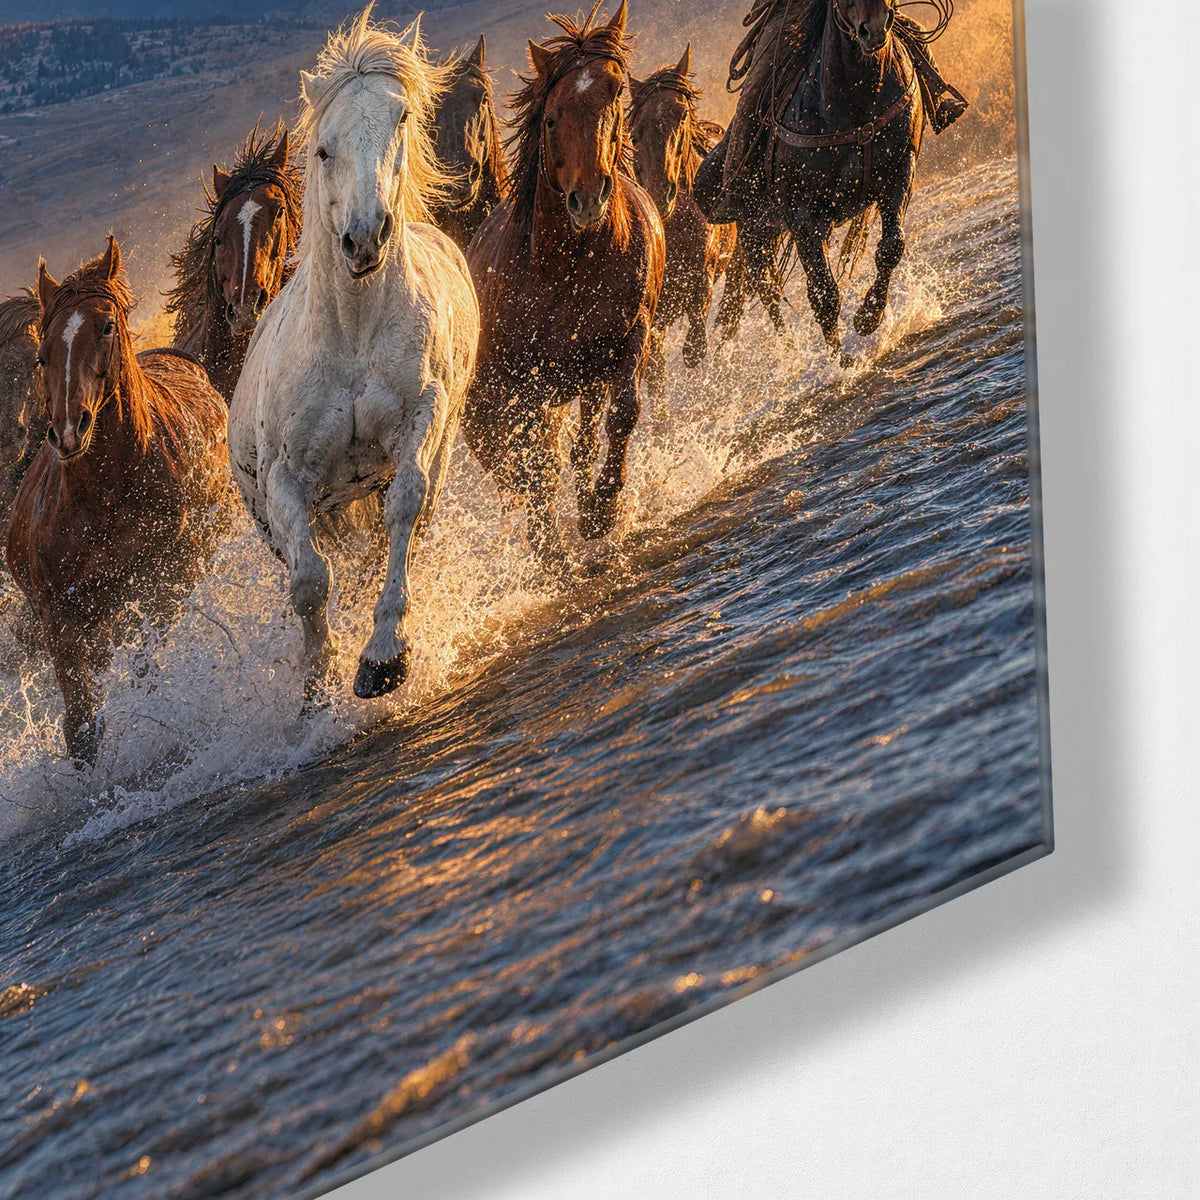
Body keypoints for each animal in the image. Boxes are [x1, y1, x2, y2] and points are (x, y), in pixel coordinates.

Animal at [5, 237, 232, 763]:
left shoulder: (164, 586)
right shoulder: (61, 621)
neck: (107, 500)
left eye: (106, 326)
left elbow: (147, 677)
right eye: (43, 353)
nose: (69, 430)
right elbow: (81, 729)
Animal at [228, 11, 479, 704]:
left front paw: (382, 656)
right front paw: (318, 678)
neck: (355, 338)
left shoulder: (421, 421)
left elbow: (405, 510)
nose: (364, 237)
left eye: (400, 119)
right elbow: (309, 580)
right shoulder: (287, 480)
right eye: (322, 148)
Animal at [463, 1, 664, 576]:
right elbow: (534, 468)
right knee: (520, 469)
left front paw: (601, 510)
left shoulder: (628, 336)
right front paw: (553, 550)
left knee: (572, 445)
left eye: (615, 94)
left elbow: (622, 416)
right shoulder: (524, 386)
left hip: (583, 379)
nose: (587, 199)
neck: (566, 271)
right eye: (551, 118)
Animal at [629, 44, 741, 413]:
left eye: (680, 115)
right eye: (635, 130)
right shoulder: (651, 319)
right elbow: (656, 379)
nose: (661, 191)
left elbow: (694, 350)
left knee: (730, 316)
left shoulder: (701, 281)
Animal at [695, 0, 925, 353]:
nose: (874, 29)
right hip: (752, 229)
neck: (854, 101)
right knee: (767, 289)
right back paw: (788, 349)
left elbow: (891, 246)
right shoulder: (804, 216)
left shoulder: (899, 171)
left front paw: (869, 315)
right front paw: (839, 359)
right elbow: (824, 296)